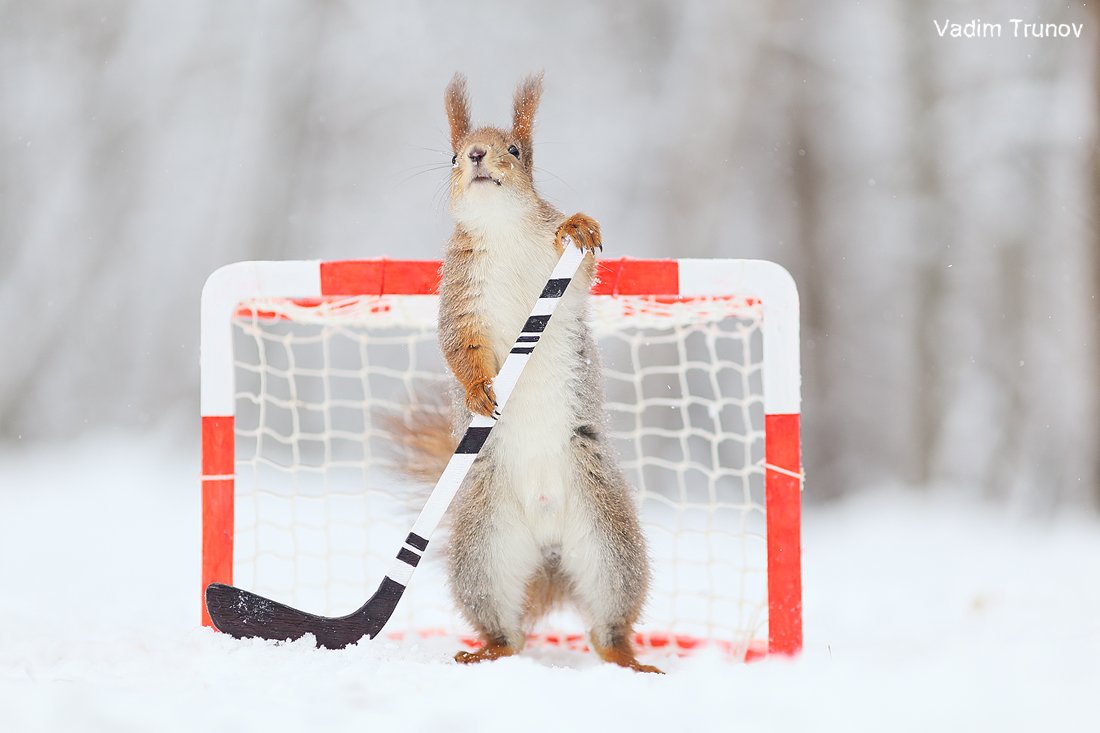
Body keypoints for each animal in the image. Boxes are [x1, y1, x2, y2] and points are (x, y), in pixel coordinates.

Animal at [396, 74, 655, 673]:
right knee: (505, 629)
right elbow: (458, 344)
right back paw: (486, 651)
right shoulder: (459, 288)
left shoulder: (563, 269)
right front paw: (479, 392)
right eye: (452, 155)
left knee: (610, 625)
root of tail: (548, 544)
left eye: (514, 150)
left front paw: (580, 224)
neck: (503, 228)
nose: (475, 155)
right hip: (485, 549)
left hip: (608, 538)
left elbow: (582, 266)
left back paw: (631, 661)